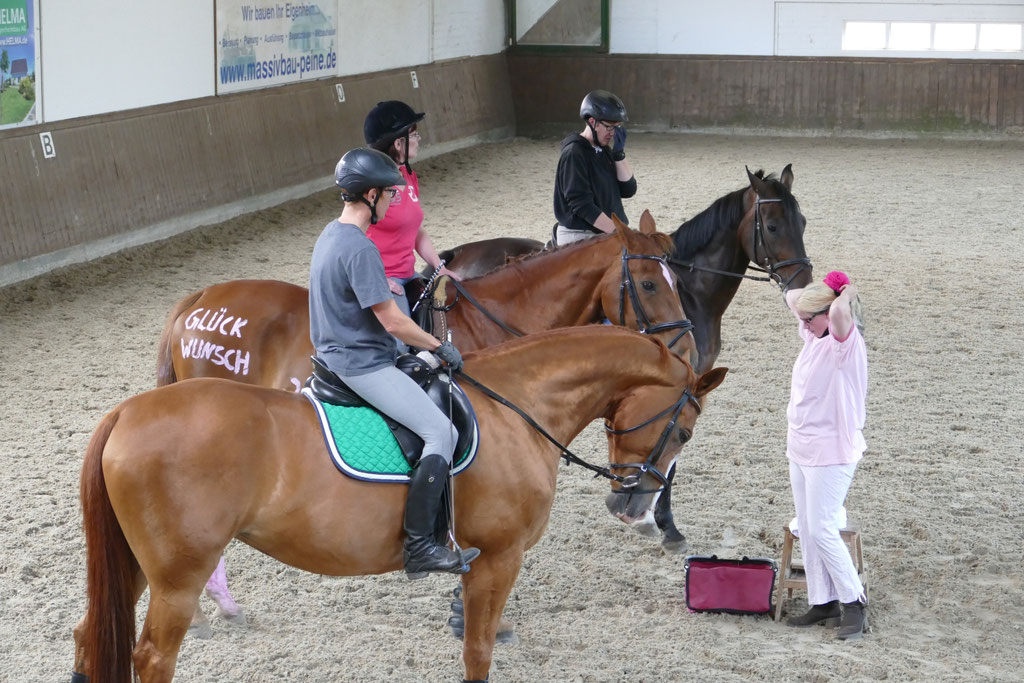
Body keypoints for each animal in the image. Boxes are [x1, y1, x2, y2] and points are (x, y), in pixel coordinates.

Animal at [72, 327, 729, 683]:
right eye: (684, 429)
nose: (631, 505)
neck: (518, 406)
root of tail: (127, 411)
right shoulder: (499, 556)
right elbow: (478, 649)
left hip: (137, 568)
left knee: (88, 635)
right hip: (179, 577)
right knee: (153, 657)